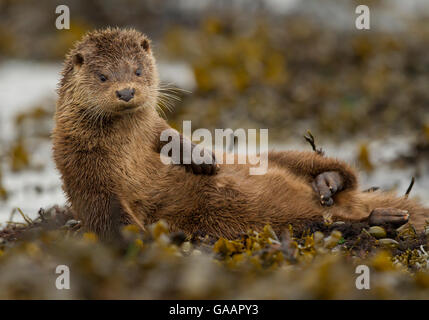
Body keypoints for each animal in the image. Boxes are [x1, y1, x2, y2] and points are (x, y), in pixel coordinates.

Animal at [53, 28, 428, 240]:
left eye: (137, 70)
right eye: (103, 76)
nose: (127, 92)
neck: (126, 150)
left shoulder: (153, 128)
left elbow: (170, 135)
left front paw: (202, 159)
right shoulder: (84, 173)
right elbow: (109, 217)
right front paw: (151, 239)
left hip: (282, 155)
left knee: (343, 174)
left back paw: (328, 184)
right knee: (334, 221)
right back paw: (380, 218)